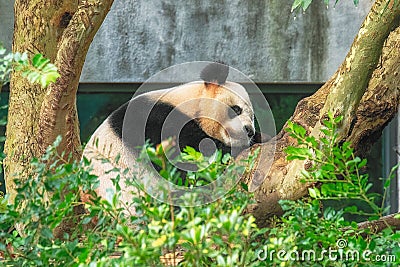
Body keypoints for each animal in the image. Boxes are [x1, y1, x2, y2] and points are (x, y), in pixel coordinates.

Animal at [81, 62, 256, 209]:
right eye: (237, 109)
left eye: (252, 117)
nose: (249, 131)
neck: (189, 103)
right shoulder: (155, 119)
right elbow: (190, 152)